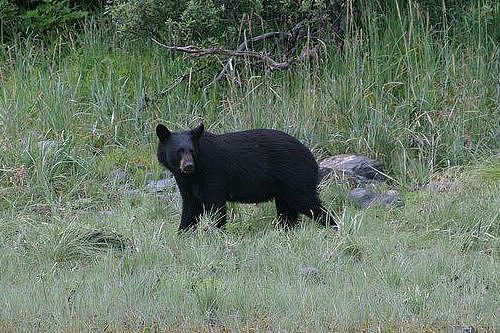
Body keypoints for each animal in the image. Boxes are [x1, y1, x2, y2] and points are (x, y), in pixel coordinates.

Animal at [156, 122, 336, 231]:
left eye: (192, 151)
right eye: (179, 151)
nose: (188, 166)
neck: (195, 173)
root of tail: (312, 157)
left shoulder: (213, 174)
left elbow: (215, 205)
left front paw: (217, 232)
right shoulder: (185, 182)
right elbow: (190, 207)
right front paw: (183, 233)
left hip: (295, 177)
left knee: (308, 203)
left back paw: (334, 226)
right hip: (283, 188)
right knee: (288, 211)